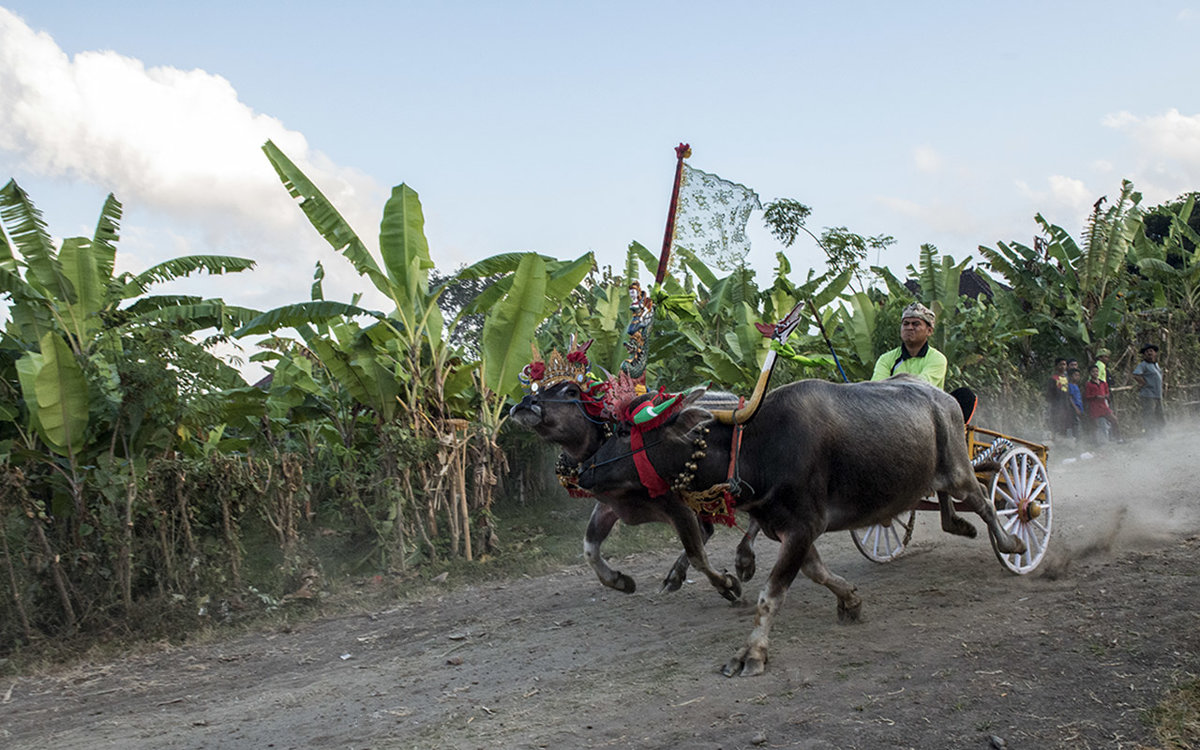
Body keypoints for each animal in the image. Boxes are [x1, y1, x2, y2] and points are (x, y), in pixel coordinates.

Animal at [576, 376, 1027, 676]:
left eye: (625, 430)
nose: (584, 471)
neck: (755, 446)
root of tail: (946, 398)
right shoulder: (788, 528)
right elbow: (817, 571)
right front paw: (851, 600)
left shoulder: (802, 526)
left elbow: (770, 596)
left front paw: (751, 654)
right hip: (935, 476)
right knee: (953, 506)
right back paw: (960, 526)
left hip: (958, 470)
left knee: (986, 501)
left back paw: (1013, 543)